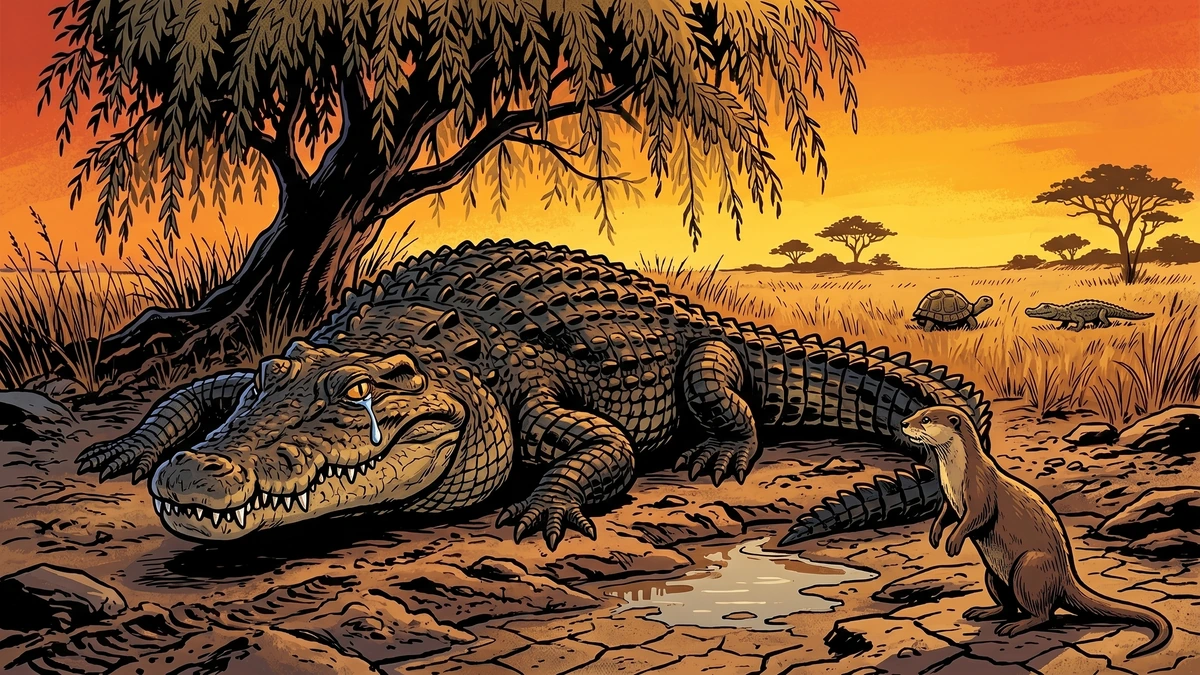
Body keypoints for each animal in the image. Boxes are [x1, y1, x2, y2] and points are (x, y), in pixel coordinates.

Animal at [901, 406, 1171, 659]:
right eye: (918, 412)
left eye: (926, 419)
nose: (903, 423)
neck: (956, 477)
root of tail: (1066, 577)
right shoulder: (950, 499)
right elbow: (945, 515)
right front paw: (935, 536)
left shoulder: (981, 490)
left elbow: (977, 517)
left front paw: (953, 542)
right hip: (993, 574)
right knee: (1009, 606)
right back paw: (985, 612)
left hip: (1029, 569)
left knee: (1044, 614)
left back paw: (1017, 626)